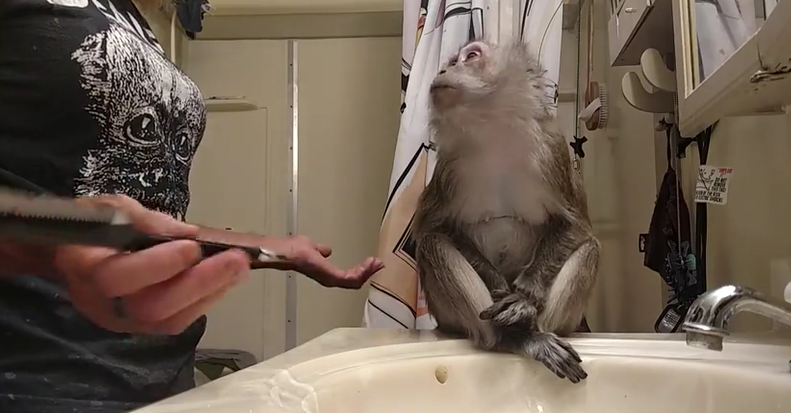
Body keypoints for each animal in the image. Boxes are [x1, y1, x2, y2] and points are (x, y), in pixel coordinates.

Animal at [412, 39, 600, 384]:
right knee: (432, 245)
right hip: (447, 320)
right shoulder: (449, 167)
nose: (443, 71)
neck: (493, 131)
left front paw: (524, 297)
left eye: (471, 56)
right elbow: (434, 227)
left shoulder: (552, 151)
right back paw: (514, 339)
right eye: (449, 61)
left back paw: (533, 330)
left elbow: (577, 226)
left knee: (590, 248)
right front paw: (499, 288)